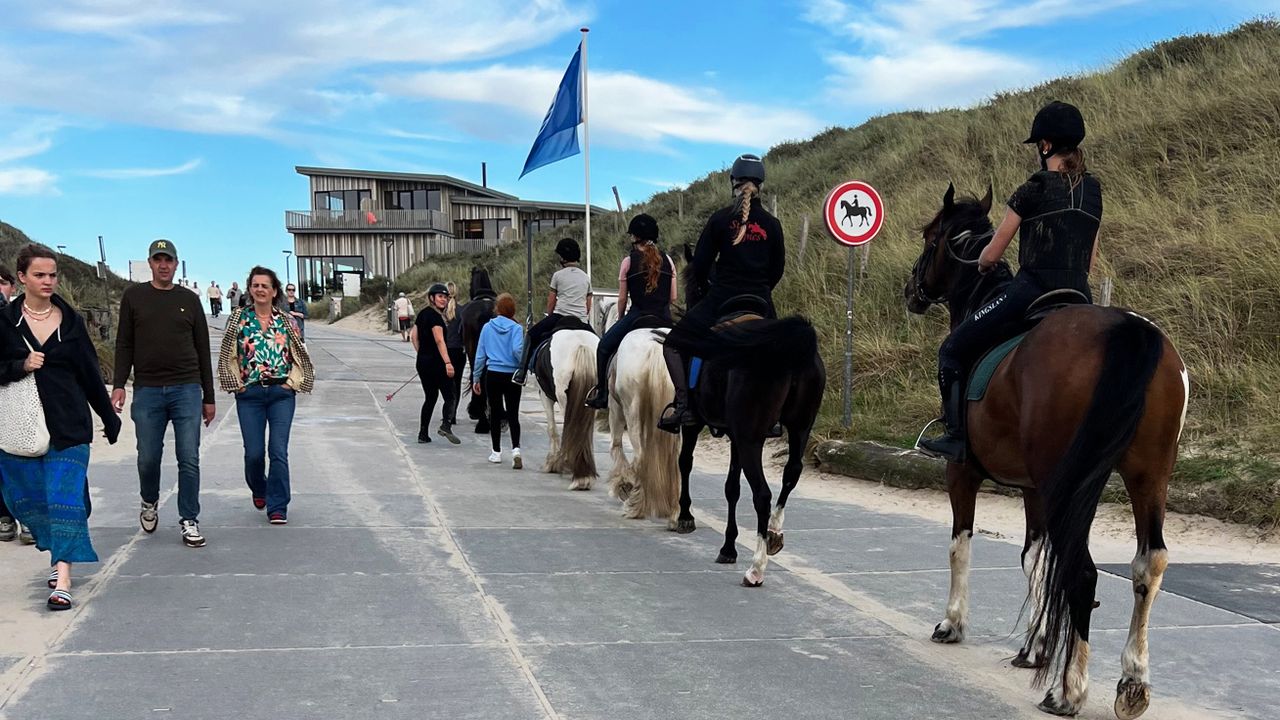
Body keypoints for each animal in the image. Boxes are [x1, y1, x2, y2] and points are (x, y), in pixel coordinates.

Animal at [660, 243, 829, 586]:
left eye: (693, 287)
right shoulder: (735, 435)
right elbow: (731, 488)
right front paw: (728, 546)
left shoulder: (699, 426)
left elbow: (686, 463)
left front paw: (685, 516)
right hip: (799, 427)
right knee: (791, 474)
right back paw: (774, 533)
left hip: (752, 438)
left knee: (762, 494)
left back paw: (756, 567)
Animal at [901, 181, 1187, 712]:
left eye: (931, 238)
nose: (913, 289)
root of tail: (1130, 330)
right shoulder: (1034, 489)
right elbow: (1034, 559)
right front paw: (1034, 647)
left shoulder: (963, 473)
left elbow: (960, 544)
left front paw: (952, 623)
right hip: (1147, 476)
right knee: (1148, 564)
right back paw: (1132, 681)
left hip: (1069, 486)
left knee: (1083, 572)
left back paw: (1068, 690)